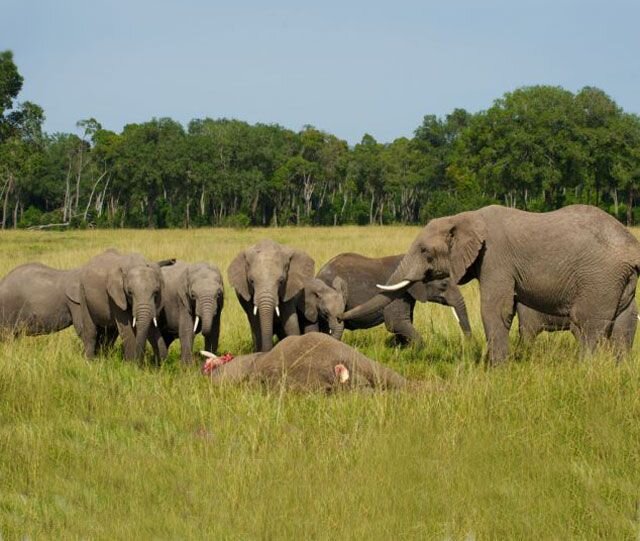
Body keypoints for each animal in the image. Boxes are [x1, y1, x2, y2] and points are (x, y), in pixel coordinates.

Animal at [342, 205, 640, 364]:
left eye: (425, 251)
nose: (341, 316)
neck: (464, 217)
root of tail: (632, 245)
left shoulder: (496, 258)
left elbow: (495, 309)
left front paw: (496, 369)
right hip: (620, 281)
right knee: (624, 323)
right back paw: (615, 370)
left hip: (599, 277)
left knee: (587, 325)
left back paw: (585, 370)